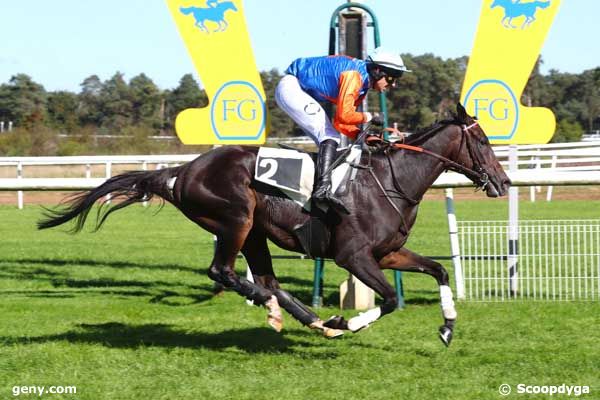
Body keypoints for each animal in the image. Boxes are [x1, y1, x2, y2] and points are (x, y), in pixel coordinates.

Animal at [37, 104, 508, 346]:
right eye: (483, 141)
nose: (503, 182)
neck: (389, 181)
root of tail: (180, 172)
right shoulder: (353, 256)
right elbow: (390, 299)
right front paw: (347, 323)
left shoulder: (388, 252)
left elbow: (439, 269)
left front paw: (447, 327)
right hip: (236, 218)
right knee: (224, 271)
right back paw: (283, 309)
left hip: (256, 233)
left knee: (267, 278)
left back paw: (306, 317)